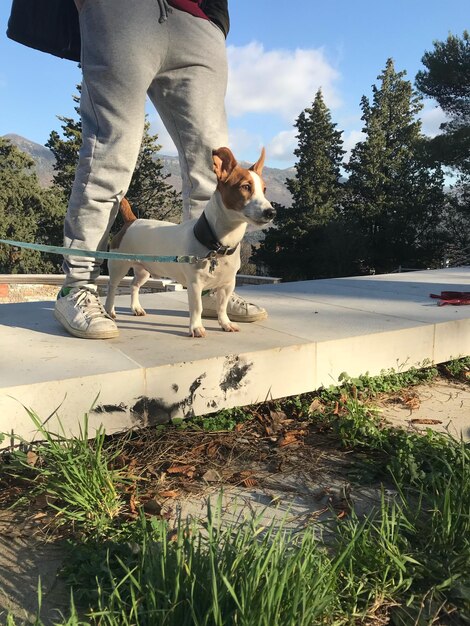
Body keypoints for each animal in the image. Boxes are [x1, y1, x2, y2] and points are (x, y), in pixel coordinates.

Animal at [105, 147, 276, 336]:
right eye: (245, 187)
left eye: (264, 189)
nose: (271, 212)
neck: (217, 245)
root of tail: (131, 221)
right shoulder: (195, 284)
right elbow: (197, 307)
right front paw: (196, 327)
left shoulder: (227, 285)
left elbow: (222, 307)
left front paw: (225, 323)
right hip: (119, 265)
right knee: (112, 287)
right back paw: (109, 310)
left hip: (144, 269)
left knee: (134, 285)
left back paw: (136, 308)